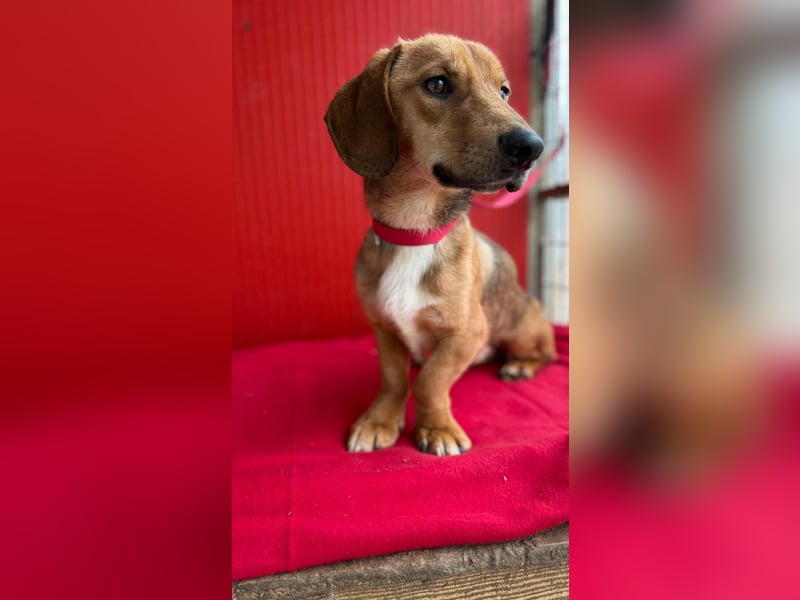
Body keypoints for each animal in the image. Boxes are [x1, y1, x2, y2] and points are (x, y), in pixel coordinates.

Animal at [325, 34, 556, 456]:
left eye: (503, 91)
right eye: (437, 84)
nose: (533, 148)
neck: (415, 233)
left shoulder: (467, 333)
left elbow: (430, 381)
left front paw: (437, 428)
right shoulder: (384, 328)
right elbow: (395, 379)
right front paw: (380, 419)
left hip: (521, 330)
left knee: (544, 354)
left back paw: (519, 365)